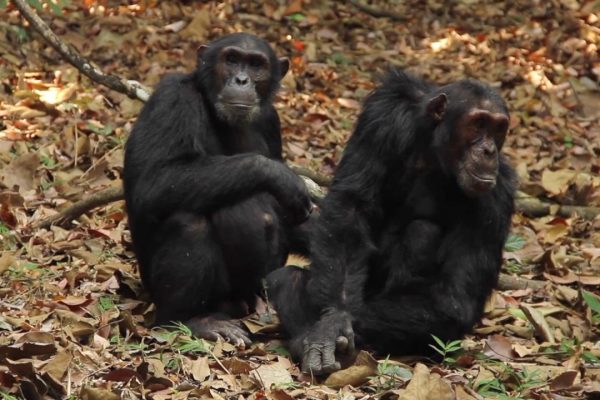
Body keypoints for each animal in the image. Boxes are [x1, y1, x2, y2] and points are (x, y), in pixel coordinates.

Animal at [121, 33, 310, 346]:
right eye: (231, 59)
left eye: (256, 64)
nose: (242, 79)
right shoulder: (171, 98)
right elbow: (155, 181)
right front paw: (282, 177)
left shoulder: (272, 122)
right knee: (190, 223)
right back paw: (189, 322)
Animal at [268, 69, 516, 376]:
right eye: (478, 123)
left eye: (498, 128)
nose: (489, 150)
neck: (435, 152)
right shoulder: (383, 117)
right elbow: (352, 208)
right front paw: (334, 317)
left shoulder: (496, 199)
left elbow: (453, 300)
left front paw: (318, 321)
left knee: (422, 232)